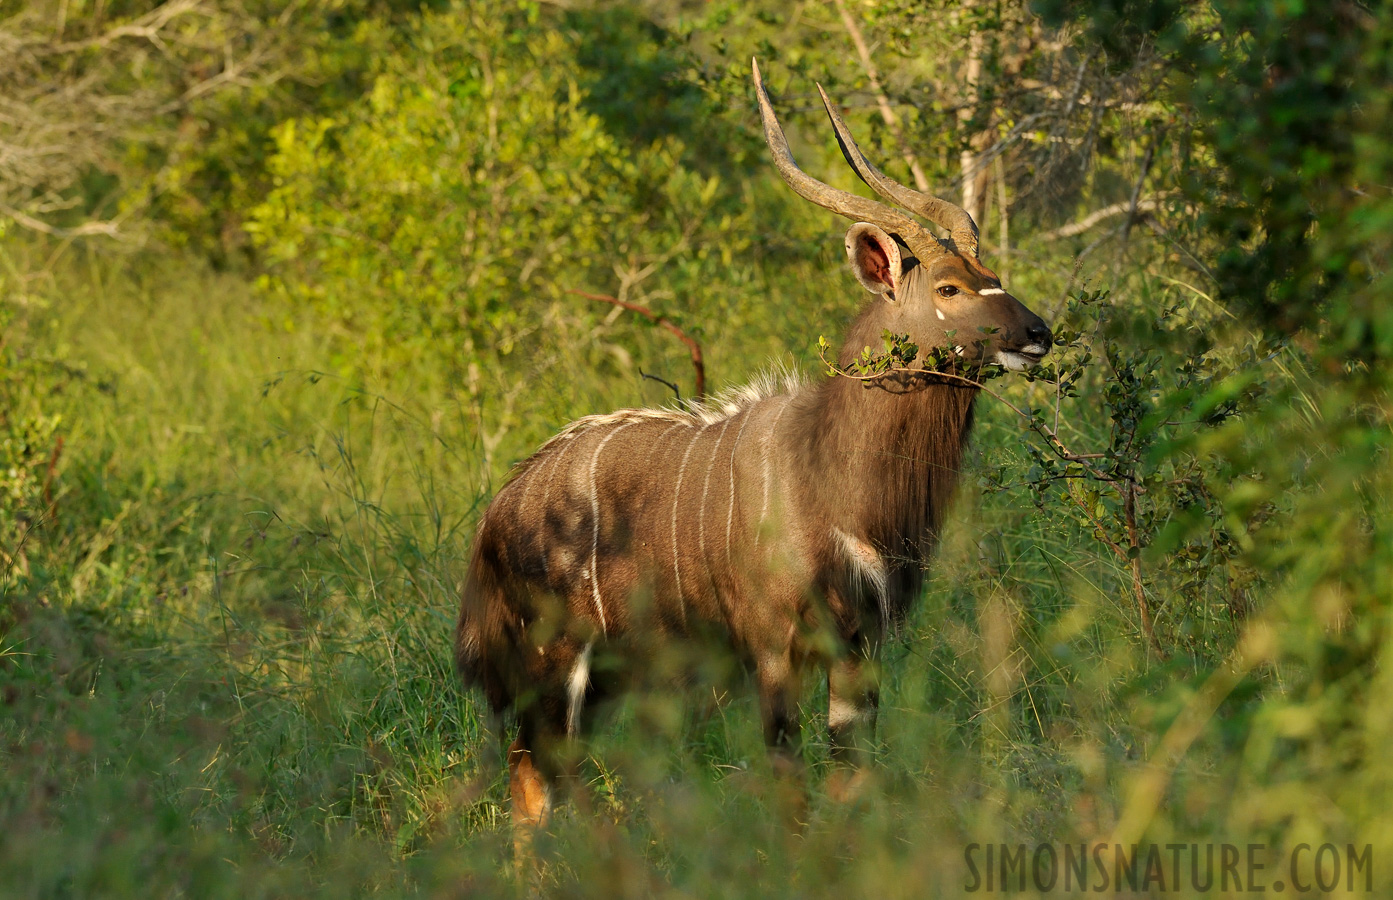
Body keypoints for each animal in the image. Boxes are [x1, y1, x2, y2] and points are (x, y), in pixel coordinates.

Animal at [451, 59, 1047, 835]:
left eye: (992, 276)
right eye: (949, 287)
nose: (1038, 333)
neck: (828, 472)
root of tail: (499, 512)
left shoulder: (858, 644)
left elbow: (850, 779)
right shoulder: (773, 647)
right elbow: (789, 782)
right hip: (553, 663)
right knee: (534, 785)